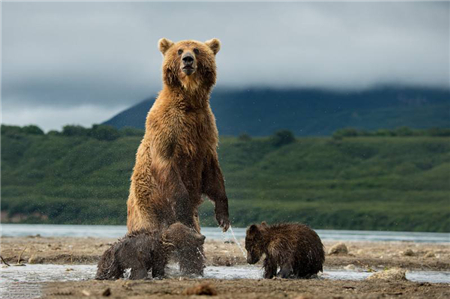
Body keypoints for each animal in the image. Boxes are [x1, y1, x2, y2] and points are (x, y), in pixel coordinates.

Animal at [127, 38, 230, 276]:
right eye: (179, 50)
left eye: (198, 50)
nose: (188, 60)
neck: (189, 100)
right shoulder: (167, 129)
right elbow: (167, 168)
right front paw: (183, 206)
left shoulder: (205, 133)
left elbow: (214, 174)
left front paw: (223, 217)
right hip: (148, 209)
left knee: (194, 245)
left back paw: (193, 269)